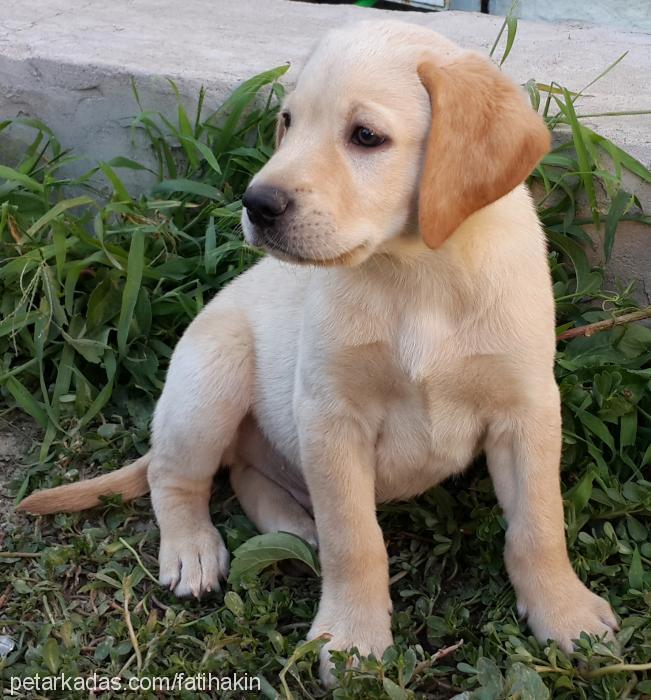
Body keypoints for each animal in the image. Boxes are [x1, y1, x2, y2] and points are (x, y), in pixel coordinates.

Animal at [22, 19, 620, 688]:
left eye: (366, 136)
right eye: (288, 121)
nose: (257, 204)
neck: (420, 271)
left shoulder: (527, 409)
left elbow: (540, 525)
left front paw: (565, 613)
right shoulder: (332, 414)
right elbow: (354, 539)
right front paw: (354, 638)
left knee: (242, 472)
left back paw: (291, 525)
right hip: (211, 379)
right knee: (174, 475)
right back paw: (194, 548)